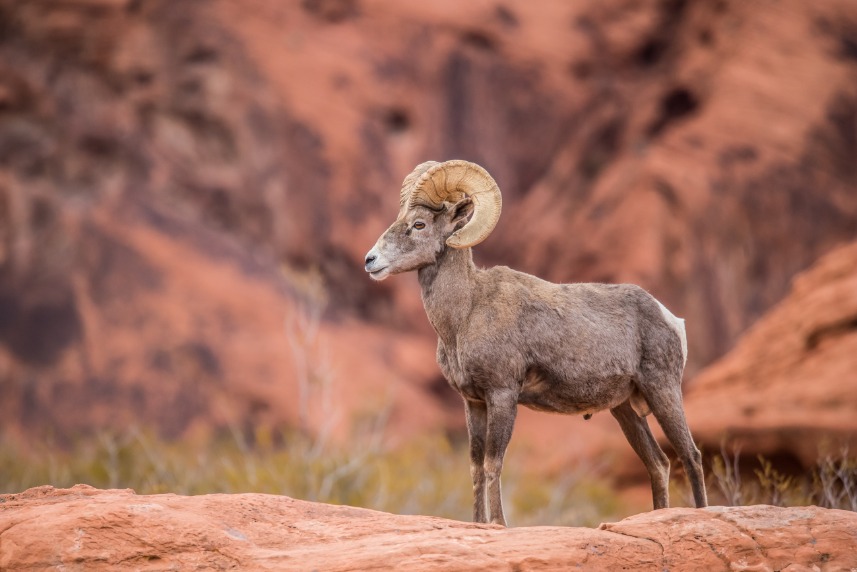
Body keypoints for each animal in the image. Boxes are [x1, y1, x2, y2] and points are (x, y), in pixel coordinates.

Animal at [364, 161, 704, 528]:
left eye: (419, 224)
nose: (371, 261)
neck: (465, 314)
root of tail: (671, 318)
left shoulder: (502, 395)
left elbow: (493, 463)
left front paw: (499, 524)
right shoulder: (473, 403)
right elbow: (475, 468)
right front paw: (478, 523)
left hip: (662, 390)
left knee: (691, 455)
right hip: (625, 409)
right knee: (659, 464)